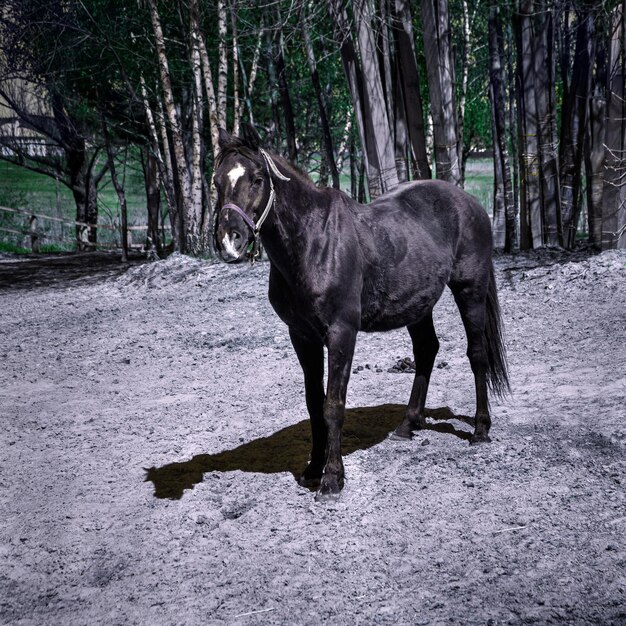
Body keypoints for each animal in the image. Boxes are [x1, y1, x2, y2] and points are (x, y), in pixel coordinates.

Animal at [214, 124, 508, 500]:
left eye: (256, 179)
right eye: (216, 182)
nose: (229, 241)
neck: (313, 242)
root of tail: (470, 203)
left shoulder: (342, 333)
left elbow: (333, 405)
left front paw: (332, 479)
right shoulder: (303, 337)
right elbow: (314, 403)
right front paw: (313, 468)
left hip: (470, 289)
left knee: (477, 354)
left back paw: (481, 431)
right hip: (418, 305)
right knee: (427, 350)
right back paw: (407, 425)